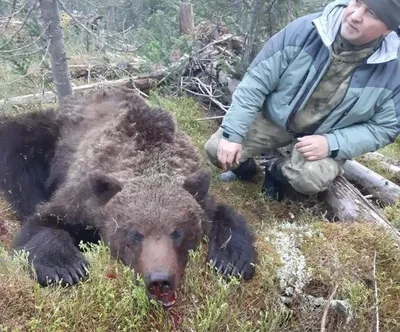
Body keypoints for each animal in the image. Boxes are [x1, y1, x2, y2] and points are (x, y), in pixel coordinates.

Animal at [0, 88, 256, 306]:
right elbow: (44, 221)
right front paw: (66, 267)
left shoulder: (199, 194)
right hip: (46, 134)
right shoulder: (84, 197)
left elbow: (225, 215)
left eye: (177, 231)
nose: (160, 280)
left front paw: (231, 261)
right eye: (135, 233)